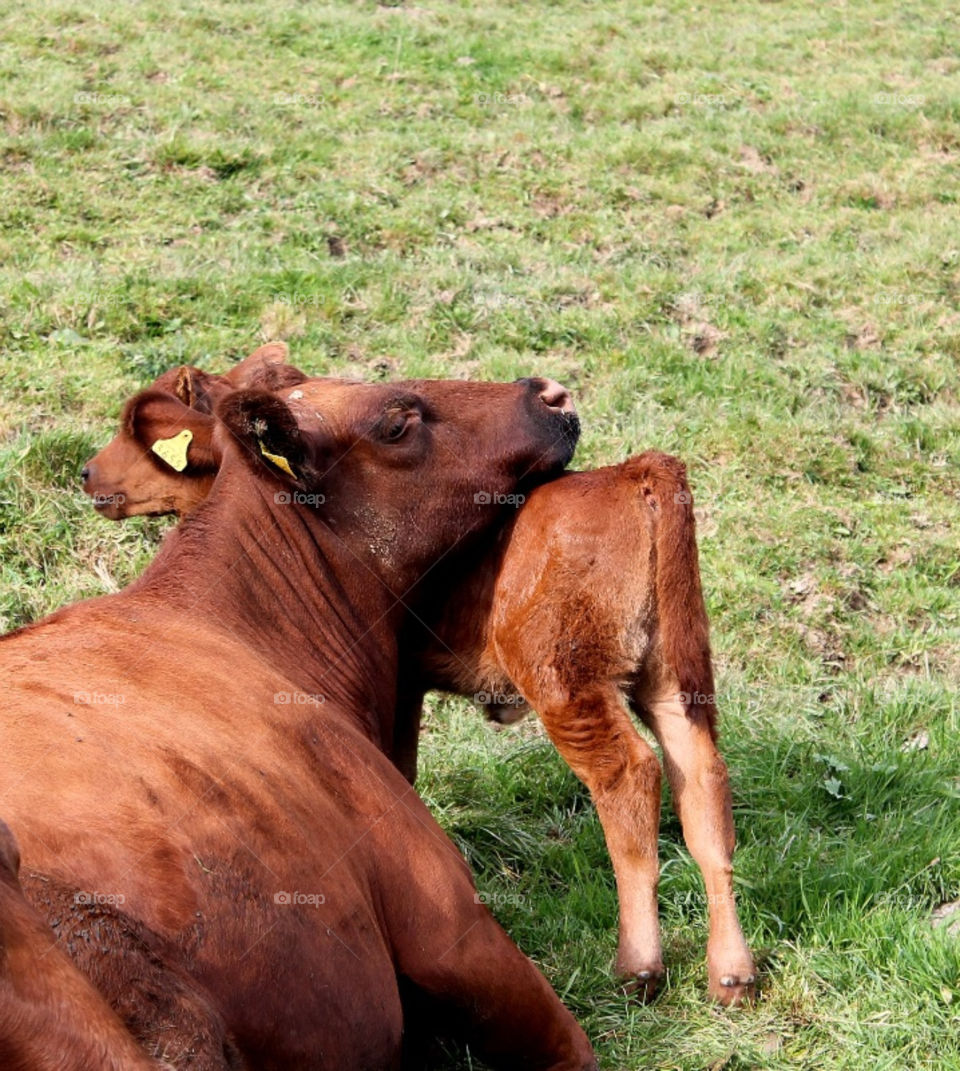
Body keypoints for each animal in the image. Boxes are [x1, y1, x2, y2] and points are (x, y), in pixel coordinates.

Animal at [82, 349, 754, 1002]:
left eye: (144, 432)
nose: (89, 473)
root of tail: (633, 470)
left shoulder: (400, 688)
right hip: (675, 677)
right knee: (702, 781)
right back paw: (732, 972)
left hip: (569, 683)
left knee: (629, 777)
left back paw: (639, 965)